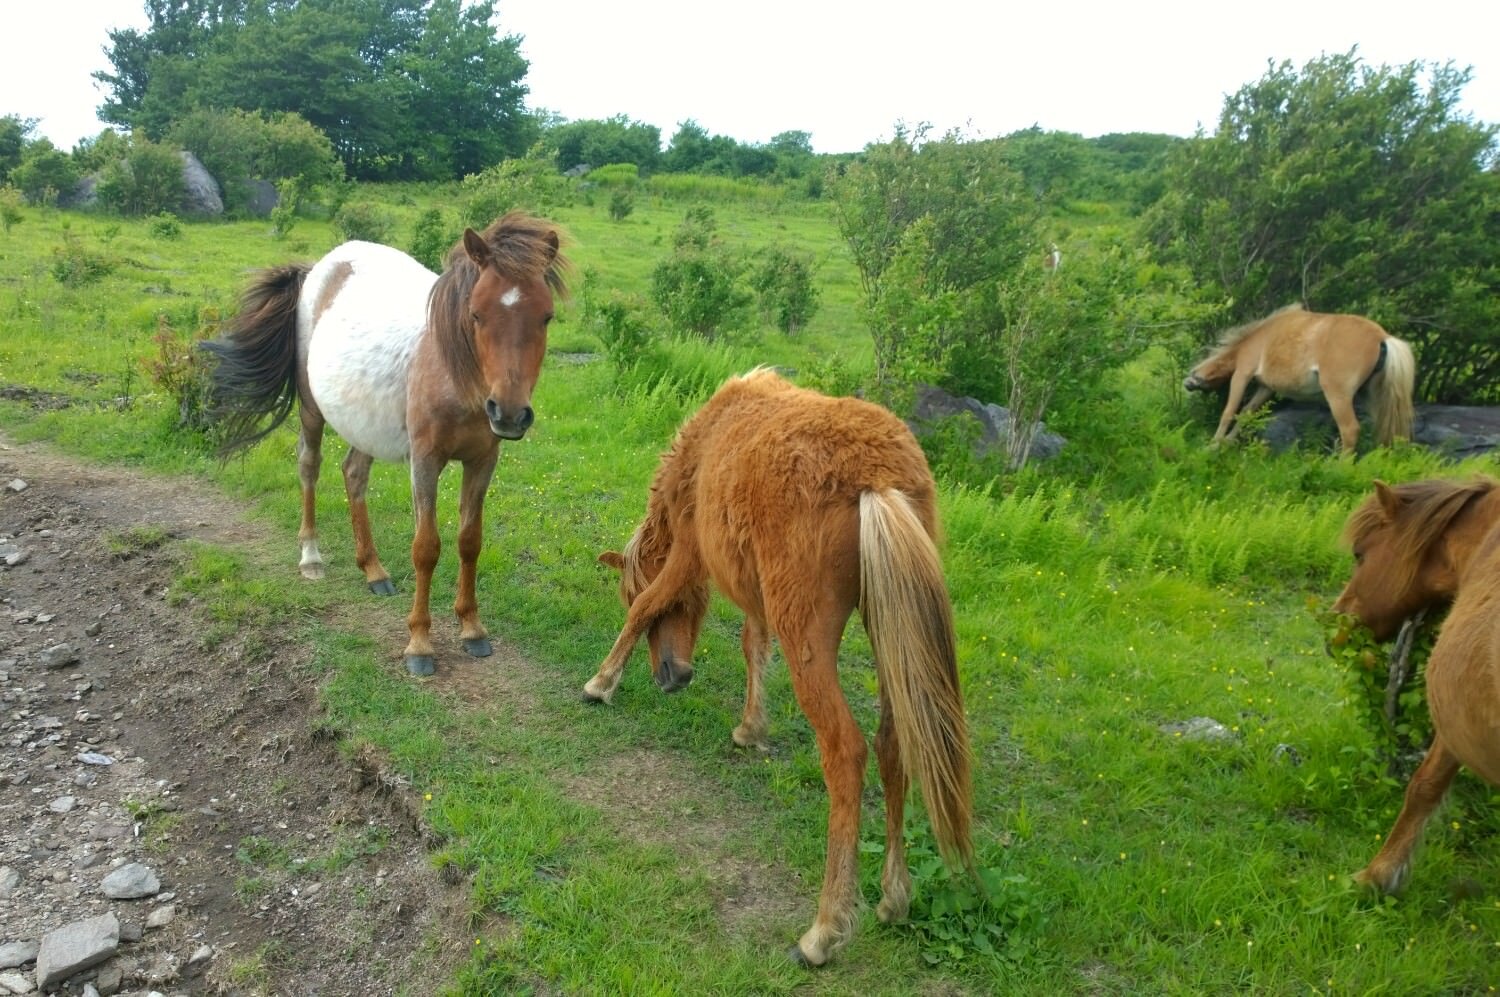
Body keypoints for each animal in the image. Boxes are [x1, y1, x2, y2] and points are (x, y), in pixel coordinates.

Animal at [202, 212, 570, 671]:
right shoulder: (425, 461)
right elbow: (426, 548)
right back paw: (311, 557)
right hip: (312, 409)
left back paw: (373, 570)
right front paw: (419, 644)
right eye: (476, 313)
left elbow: (470, 542)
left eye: (546, 316)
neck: (452, 372)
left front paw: (472, 628)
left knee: (353, 474)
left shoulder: (483, 460)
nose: (508, 412)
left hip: (364, 424)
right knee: (309, 467)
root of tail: (320, 268)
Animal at [579, 367, 978, 965]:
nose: (673, 677)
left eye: (625, 592)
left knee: (847, 751)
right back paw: (893, 898)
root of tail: (879, 479)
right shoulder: (755, 595)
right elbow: (752, 642)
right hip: (888, 636)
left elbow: (652, 603)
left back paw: (825, 929)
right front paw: (751, 727)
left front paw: (602, 682)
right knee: (891, 744)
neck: (706, 446)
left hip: (811, 642)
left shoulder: (690, 554)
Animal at [1182, 302, 1416, 455]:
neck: (1260, 336)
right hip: (1371, 394)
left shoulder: (1242, 374)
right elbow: (1247, 414)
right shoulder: (1265, 388)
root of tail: (1382, 337)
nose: (1188, 382)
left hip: (1337, 395)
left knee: (1350, 429)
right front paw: (1228, 442)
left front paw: (1214, 444)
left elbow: (1230, 412)